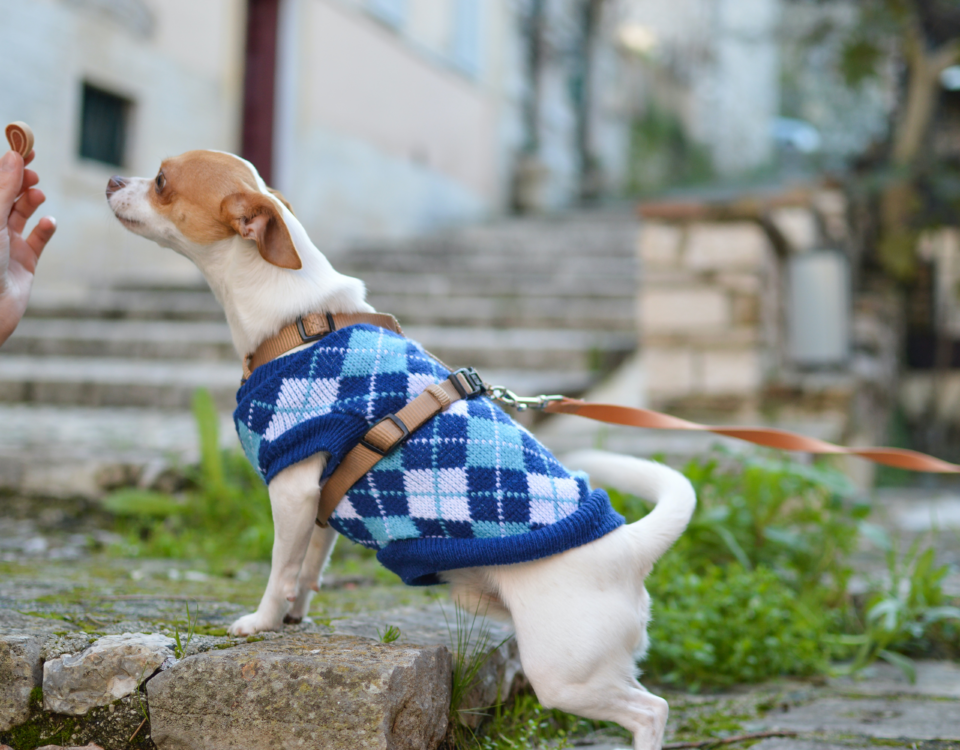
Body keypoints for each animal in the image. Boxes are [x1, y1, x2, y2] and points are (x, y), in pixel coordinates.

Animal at [107, 151, 696, 750]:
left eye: (161, 181)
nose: (111, 179)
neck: (300, 322)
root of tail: (630, 547)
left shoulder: (291, 489)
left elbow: (279, 568)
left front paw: (262, 622)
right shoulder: (320, 501)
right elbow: (308, 568)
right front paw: (295, 616)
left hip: (563, 674)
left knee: (652, 709)